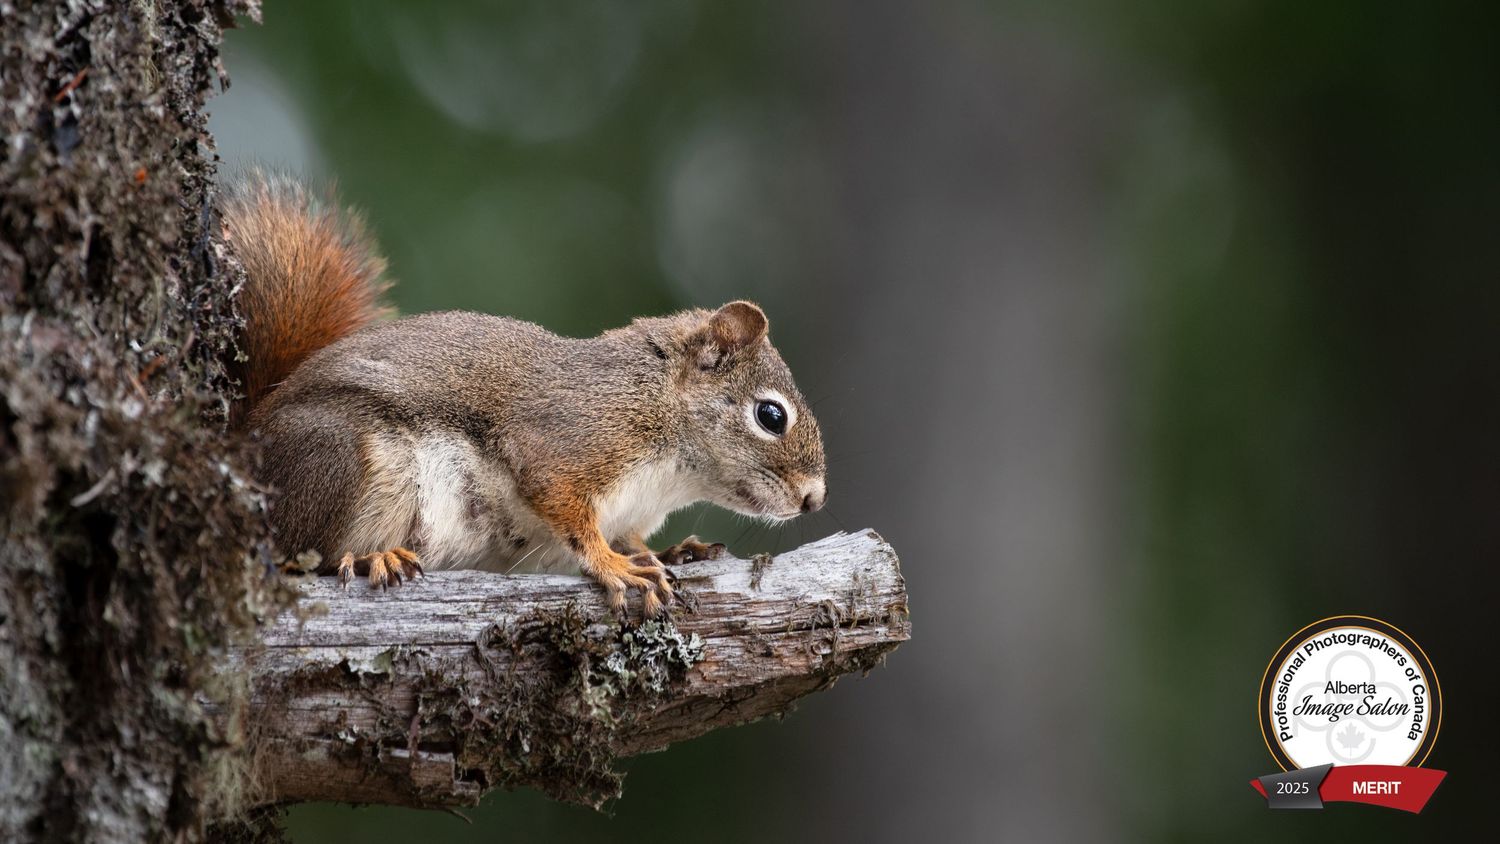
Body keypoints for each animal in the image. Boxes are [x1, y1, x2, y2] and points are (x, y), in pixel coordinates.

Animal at [222, 172, 827, 618]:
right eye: (771, 415)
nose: (814, 499)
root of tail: (246, 444)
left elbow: (631, 535)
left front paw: (671, 549)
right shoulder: (570, 441)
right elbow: (571, 515)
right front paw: (615, 565)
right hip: (341, 456)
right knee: (299, 553)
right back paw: (375, 557)